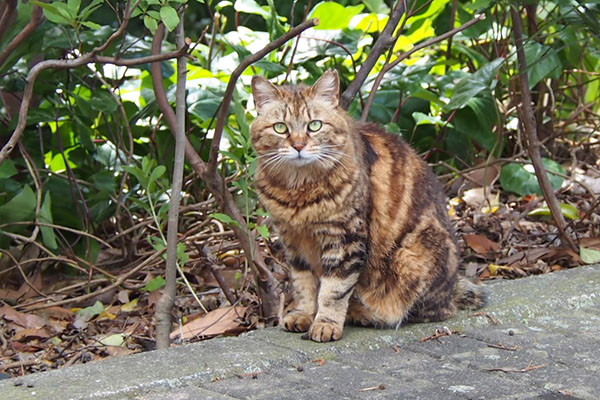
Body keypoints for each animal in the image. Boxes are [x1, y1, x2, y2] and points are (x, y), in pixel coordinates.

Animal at [248, 70, 482, 342]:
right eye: (280, 128)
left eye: (314, 125)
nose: (298, 145)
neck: (298, 192)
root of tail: (454, 286)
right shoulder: (294, 244)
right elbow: (304, 285)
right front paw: (304, 315)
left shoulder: (345, 239)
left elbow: (333, 291)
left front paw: (325, 323)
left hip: (414, 255)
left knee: (423, 312)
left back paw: (359, 312)